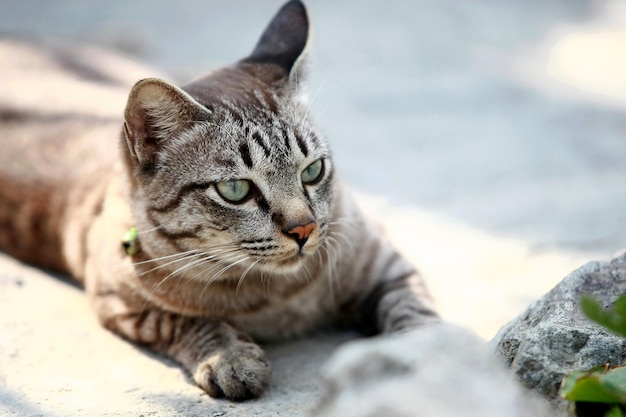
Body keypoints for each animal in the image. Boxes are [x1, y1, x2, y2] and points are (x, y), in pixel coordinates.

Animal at [0, 1, 438, 402]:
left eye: (312, 171)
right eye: (235, 190)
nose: (304, 228)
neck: (279, 296)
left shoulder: (385, 265)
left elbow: (417, 315)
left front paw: (430, 359)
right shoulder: (116, 301)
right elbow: (187, 321)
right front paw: (230, 357)